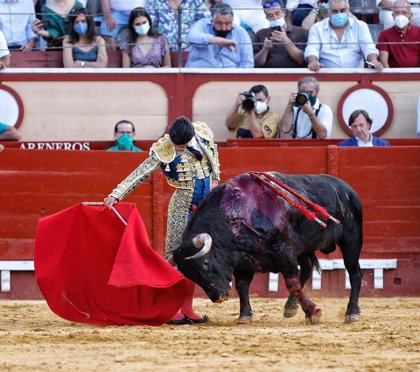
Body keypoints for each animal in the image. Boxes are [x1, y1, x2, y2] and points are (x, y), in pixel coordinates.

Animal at [172, 173, 362, 324]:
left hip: (351, 239)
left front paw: (313, 313)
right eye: (190, 275)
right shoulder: (244, 260)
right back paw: (290, 307)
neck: (239, 212)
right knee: (307, 269)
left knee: (354, 273)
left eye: (204, 264)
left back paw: (352, 313)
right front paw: (245, 315)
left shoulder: (284, 252)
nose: (219, 297)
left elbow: (292, 284)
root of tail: (347, 189)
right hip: (303, 248)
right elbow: (242, 285)